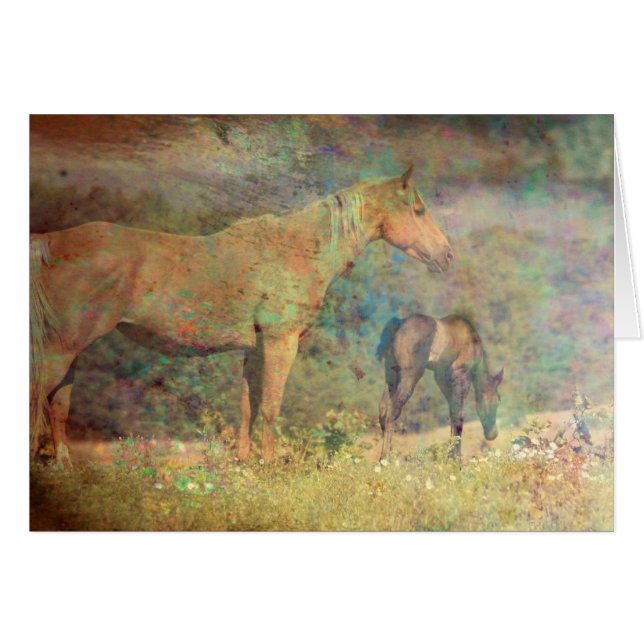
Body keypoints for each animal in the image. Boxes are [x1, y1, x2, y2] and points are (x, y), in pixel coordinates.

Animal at [30, 166, 454, 466]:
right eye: (418, 210)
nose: (448, 255)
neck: (298, 249)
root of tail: (51, 243)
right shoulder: (281, 342)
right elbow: (270, 406)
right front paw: (269, 467)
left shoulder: (255, 348)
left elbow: (247, 406)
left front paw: (244, 464)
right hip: (60, 350)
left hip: (70, 352)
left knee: (57, 406)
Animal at [377, 314, 503, 460]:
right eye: (497, 401)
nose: (492, 434)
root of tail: (397, 325)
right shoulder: (461, 376)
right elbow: (459, 417)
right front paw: (456, 459)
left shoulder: (442, 378)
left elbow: (453, 415)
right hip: (410, 375)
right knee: (392, 412)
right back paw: (385, 458)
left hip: (391, 375)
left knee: (383, 409)